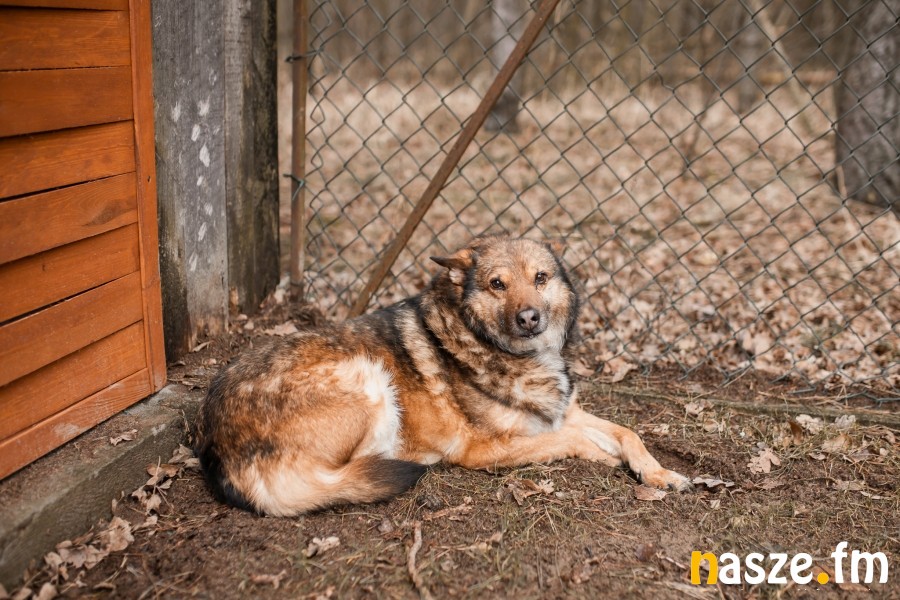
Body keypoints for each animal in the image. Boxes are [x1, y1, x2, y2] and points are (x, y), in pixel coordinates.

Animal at [195, 235, 692, 516]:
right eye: (497, 284)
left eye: (541, 277)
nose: (530, 318)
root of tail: (217, 442)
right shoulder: (483, 448)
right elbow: (570, 440)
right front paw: (604, 458)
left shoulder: (563, 412)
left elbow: (628, 433)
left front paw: (659, 474)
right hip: (368, 378)